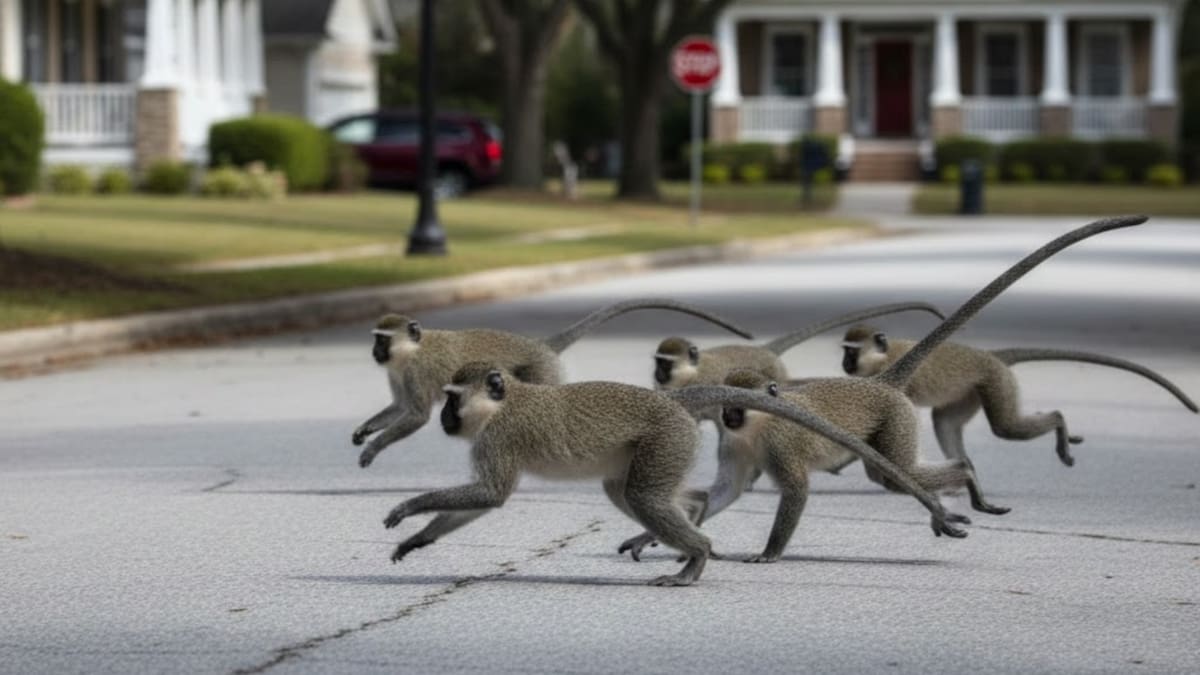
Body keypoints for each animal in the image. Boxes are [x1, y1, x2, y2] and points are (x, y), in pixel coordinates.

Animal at [352, 298, 754, 468]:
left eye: (382, 340)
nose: (373, 352)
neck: (410, 351)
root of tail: (542, 346)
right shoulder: (398, 372)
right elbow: (401, 408)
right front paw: (363, 432)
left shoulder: (415, 371)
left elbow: (417, 415)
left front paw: (372, 448)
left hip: (541, 374)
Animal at [381, 361, 969, 586]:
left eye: (453, 398)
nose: (445, 417)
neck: (502, 405)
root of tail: (676, 402)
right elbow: (483, 500)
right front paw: (417, 539)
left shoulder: (499, 438)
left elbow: (491, 493)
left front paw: (409, 508)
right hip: (663, 447)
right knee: (633, 492)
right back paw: (686, 524)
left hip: (667, 440)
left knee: (641, 495)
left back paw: (697, 555)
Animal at [618, 215, 1150, 562]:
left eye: (736, 405)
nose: (727, 416)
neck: (757, 424)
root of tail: (881, 382)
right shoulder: (735, 444)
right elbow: (724, 491)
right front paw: (649, 538)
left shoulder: (781, 444)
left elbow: (794, 491)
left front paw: (769, 553)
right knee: (892, 474)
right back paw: (960, 487)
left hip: (896, 419)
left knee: (899, 473)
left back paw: (965, 476)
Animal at [838, 325, 1199, 469]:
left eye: (851, 352)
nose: (844, 364)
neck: (883, 359)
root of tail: (992, 357)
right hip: (972, 391)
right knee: (945, 422)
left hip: (996, 382)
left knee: (1006, 427)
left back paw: (1059, 422)